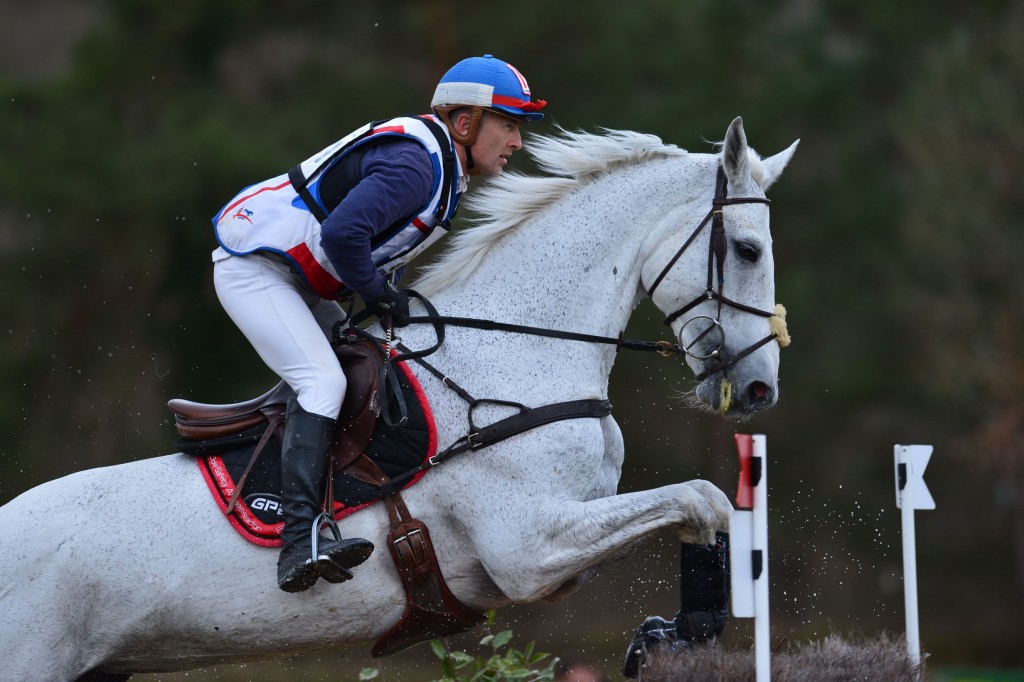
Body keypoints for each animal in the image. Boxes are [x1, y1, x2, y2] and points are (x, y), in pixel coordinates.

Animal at [0, 116, 798, 675]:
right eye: (749, 249)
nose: (760, 387)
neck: (521, 346)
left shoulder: (564, 546)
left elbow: (703, 508)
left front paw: (675, 633)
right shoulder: (529, 548)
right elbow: (700, 495)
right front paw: (684, 631)